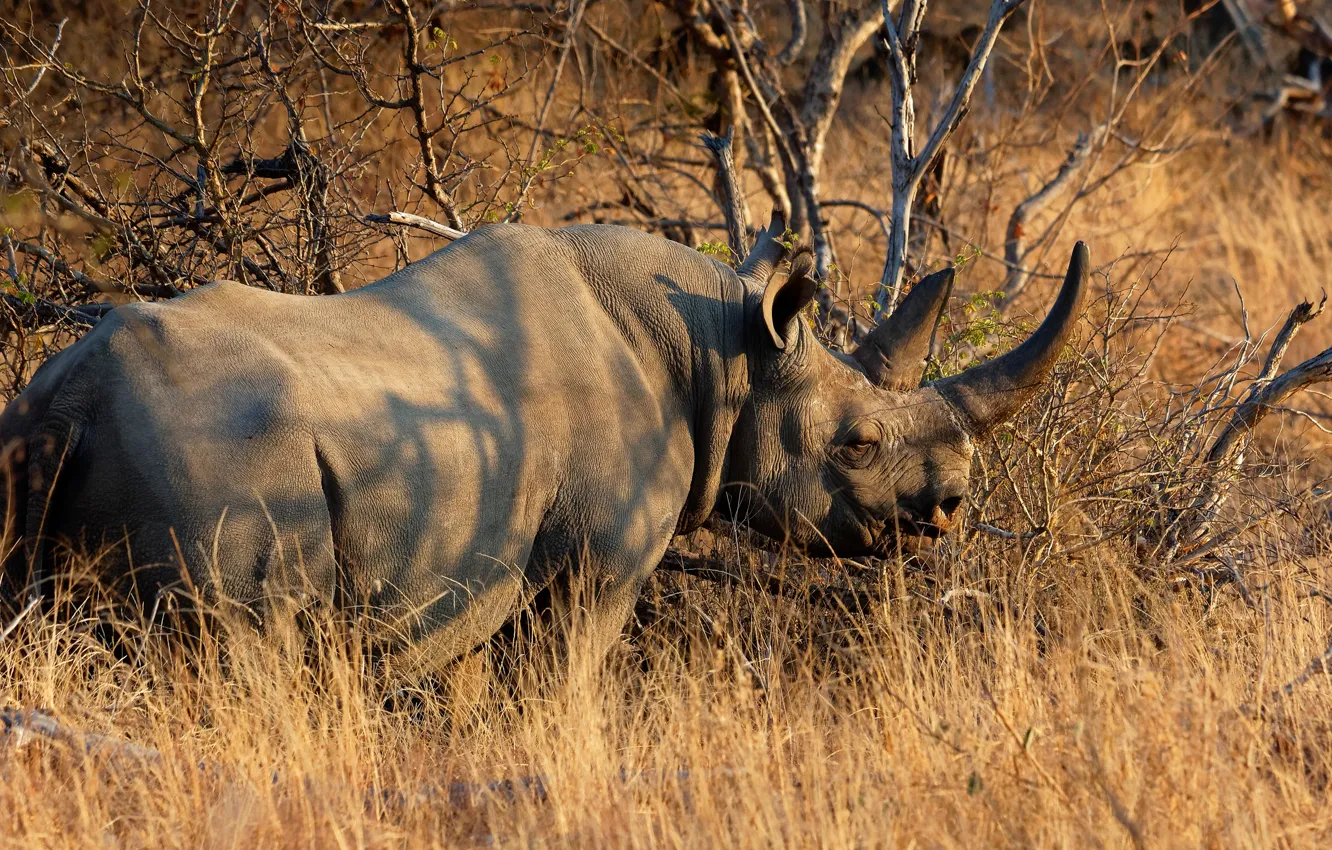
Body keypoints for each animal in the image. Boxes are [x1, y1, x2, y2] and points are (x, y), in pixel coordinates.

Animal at [0, 218, 1088, 666]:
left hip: (38, 445)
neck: (726, 351)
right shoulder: (595, 566)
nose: (949, 509)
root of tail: (67, 398)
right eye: (857, 444)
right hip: (216, 463)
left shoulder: (465, 568)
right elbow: (563, 689)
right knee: (239, 654)